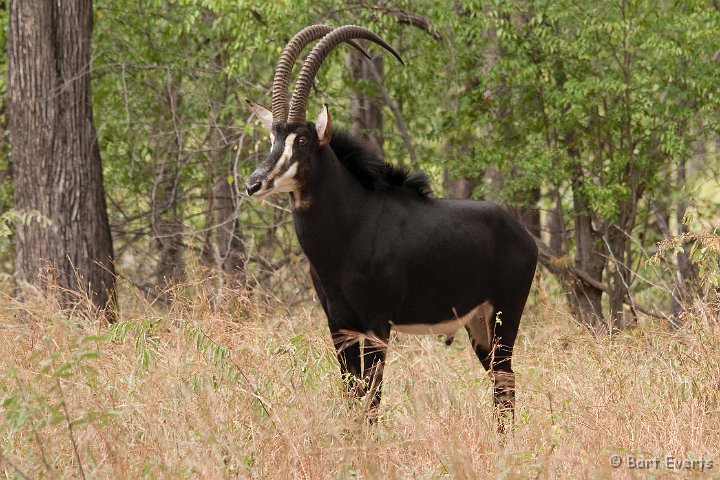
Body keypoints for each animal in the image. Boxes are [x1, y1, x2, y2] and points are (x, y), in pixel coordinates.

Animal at [245, 24, 536, 426]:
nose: (253, 183)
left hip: (504, 317)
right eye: (273, 136)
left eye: (301, 139)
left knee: (506, 381)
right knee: (500, 381)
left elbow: (372, 398)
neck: (350, 230)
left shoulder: (377, 324)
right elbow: (352, 393)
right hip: (478, 323)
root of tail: (524, 236)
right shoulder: (340, 326)